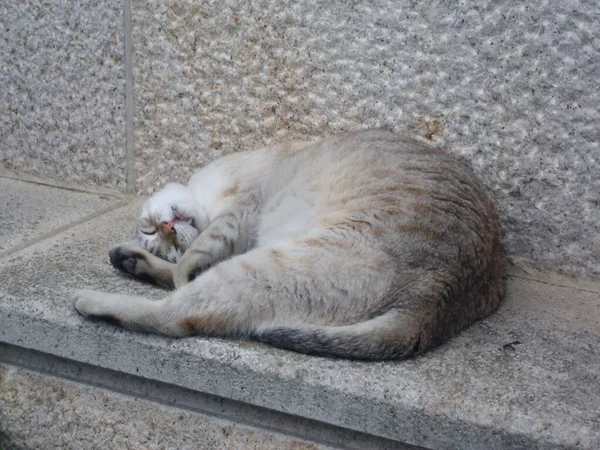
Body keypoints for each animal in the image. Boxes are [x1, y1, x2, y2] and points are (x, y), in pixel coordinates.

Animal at [75, 128, 506, 360]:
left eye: (151, 228)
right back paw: (122, 270)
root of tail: (435, 302)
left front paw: (167, 261)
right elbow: (186, 264)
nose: (166, 227)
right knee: (181, 310)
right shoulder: (235, 229)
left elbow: (194, 258)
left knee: (176, 314)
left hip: (267, 265)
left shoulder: (242, 207)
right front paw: (143, 259)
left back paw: (93, 298)